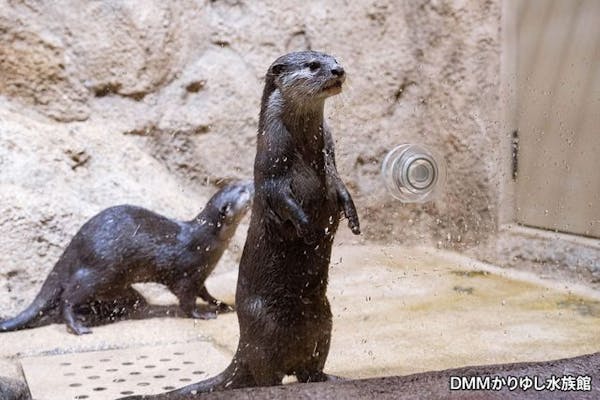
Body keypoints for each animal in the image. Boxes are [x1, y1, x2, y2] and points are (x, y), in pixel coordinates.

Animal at [0, 181, 253, 334]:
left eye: (238, 184)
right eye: (241, 190)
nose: (251, 182)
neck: (204, 241)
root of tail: (75, 244)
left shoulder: (200, 275)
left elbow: (206, 293)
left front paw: (222, 304)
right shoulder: (186, 274)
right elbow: (186, 300)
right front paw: (202, 314)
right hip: (99, 270)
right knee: (69, 296)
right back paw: (78, 326)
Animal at [119, 50, 358, 396]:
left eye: (334, 58)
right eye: (313, 65)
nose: (338, 71)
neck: (302, 145)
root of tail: (241, 348)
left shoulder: (330, 156)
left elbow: (340, 187)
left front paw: (353, 218)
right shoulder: (270, 165)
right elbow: (281, 199)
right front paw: (308, 228)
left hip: (323, 318)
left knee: (309, 370)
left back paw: (332, 378)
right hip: (265, 328)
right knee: (267, 375)